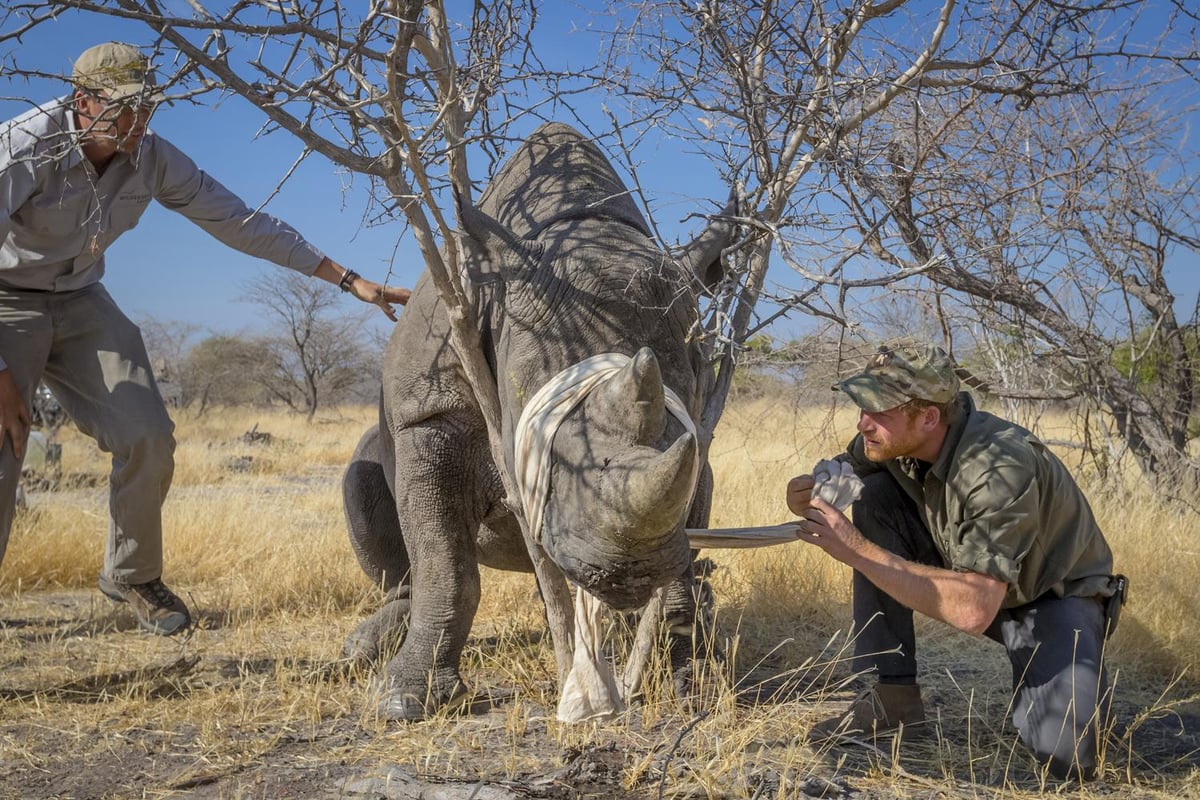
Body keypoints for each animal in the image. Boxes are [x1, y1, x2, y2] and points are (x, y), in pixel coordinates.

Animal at [343, 122, 734, 720]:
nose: (629, 574)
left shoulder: (696, 442)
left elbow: (689, 531)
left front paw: (690, 680)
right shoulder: (427, 410)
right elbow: (444, 562)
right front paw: (403, 702)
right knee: (361, 484)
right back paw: (366, 647)